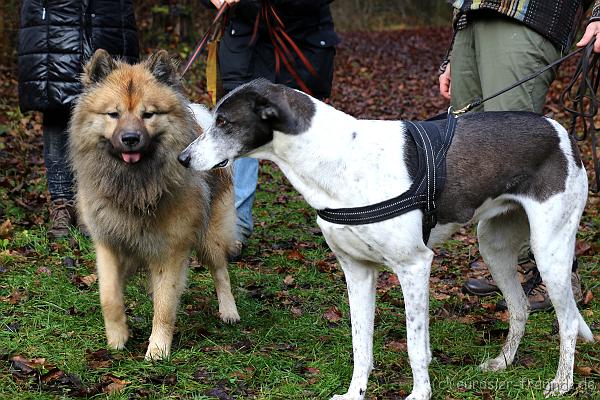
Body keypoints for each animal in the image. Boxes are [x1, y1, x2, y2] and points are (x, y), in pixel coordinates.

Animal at [69, 48, 239, 360]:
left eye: (148, 114)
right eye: (113, 114)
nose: (130, 138)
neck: (135, 185)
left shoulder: (171, 250)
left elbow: (165, 305)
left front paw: (158, 349)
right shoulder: (108, 243)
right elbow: (109, 296)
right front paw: (117, 337)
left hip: (208, 236)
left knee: (220, 270)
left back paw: (228, 310)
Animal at [177, 79, 592, 400]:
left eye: (225, 122)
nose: (183, 159)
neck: (335, 157)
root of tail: (562, 132)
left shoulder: (414, 266)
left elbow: (414, 347)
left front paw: (420, 394)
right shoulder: (357, 271)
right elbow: (361, 344)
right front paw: (355, 392)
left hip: (550, 252)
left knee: (568, 319)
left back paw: (562, 382)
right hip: (494, 247)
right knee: (520, 307)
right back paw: (503, 362)